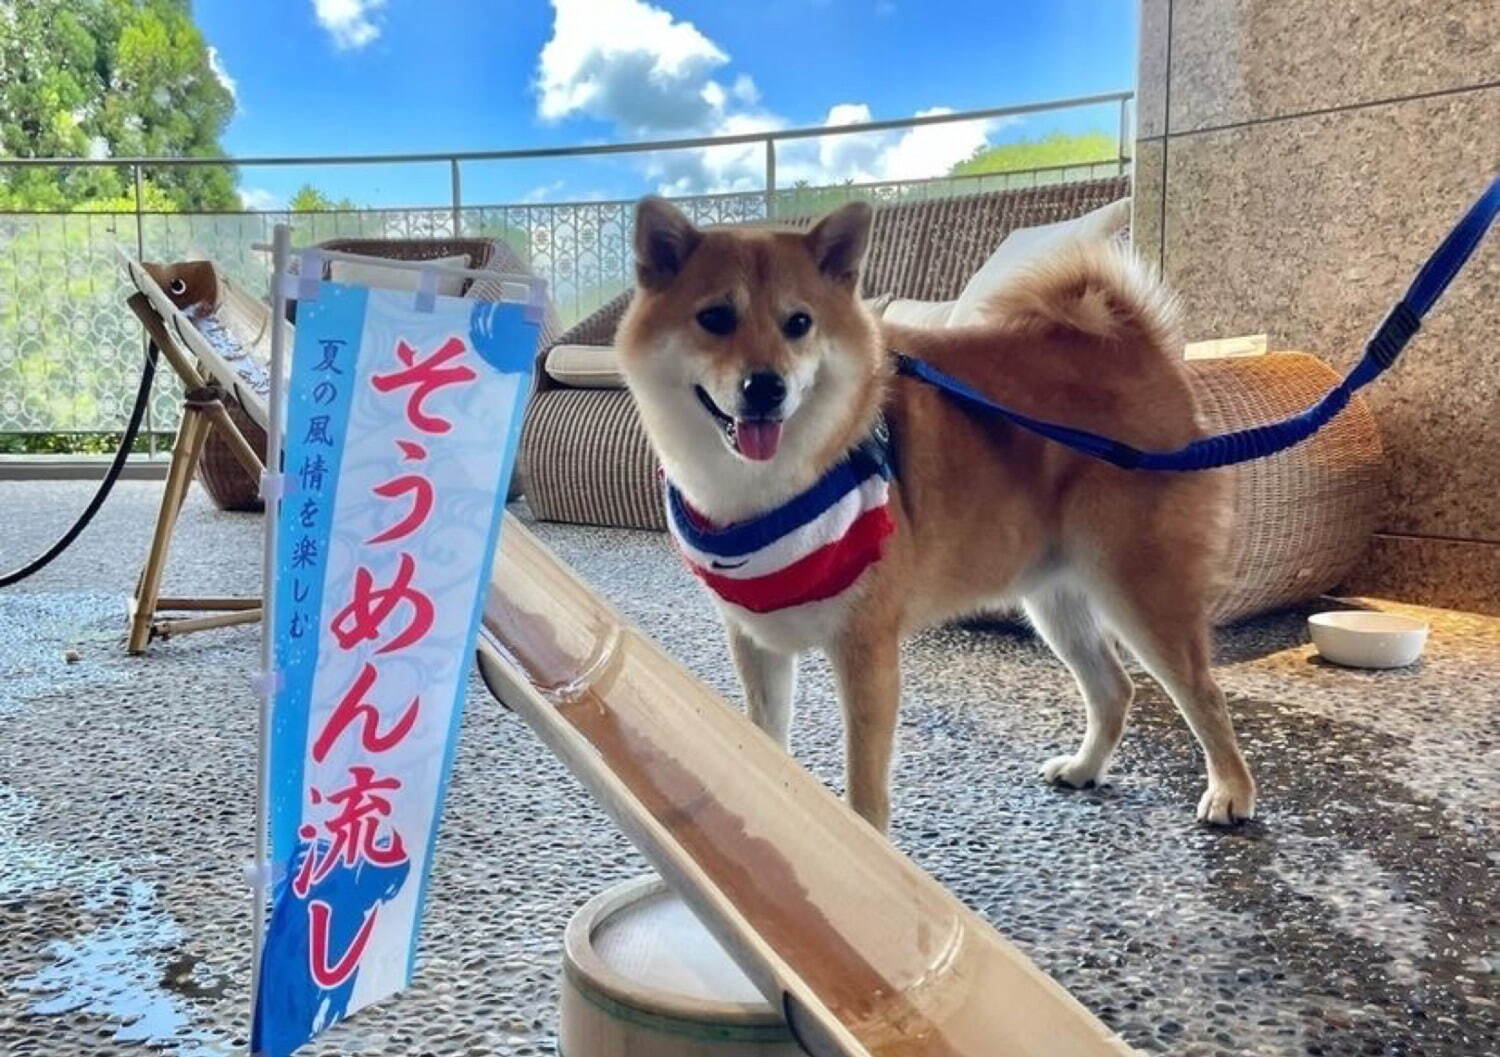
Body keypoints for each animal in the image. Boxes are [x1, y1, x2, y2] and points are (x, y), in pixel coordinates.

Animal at [615, 193, 1260, 827]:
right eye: (715, 318)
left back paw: (1231, 792)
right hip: (1055, 597)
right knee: (1113, 688)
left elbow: (864, 785)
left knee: (1203, 693)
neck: (767, 494)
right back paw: (1084, 768)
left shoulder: (866, 649)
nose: (766, 387)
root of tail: (1136, 348)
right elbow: (764, 742)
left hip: (1142, 592)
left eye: (798, 323)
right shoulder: (757, 642)